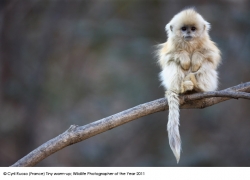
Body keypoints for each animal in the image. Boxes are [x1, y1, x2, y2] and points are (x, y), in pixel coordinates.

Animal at [156, 8, 221, 163]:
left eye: (193, 29)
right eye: (184, 29)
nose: (189, 33)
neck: (189, 44)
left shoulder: (208, 46)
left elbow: (211, 56)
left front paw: (196, 57)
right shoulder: (170, 47)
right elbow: (168, 57)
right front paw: (184, 57)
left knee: (206, 64)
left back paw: (197, 86)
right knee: (173, 64)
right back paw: (182, 87)